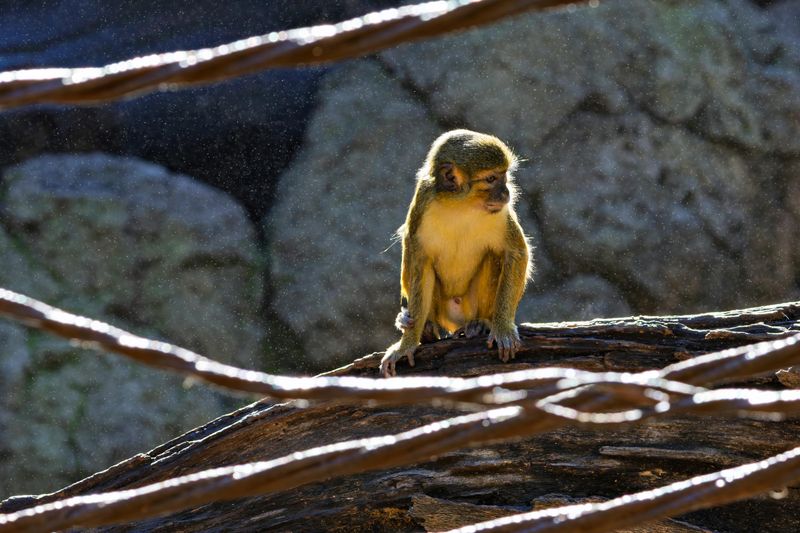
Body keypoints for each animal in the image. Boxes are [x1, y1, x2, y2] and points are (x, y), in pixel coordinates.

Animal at [380, 129, 532, 377]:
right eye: (491, 179)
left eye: (504, 176)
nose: (506, 193)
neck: (461, 204)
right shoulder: (424, 200)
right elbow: (420, 262)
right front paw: (407, 343)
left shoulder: (501, 214)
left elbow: (516, 252)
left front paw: (502, 327)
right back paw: (426, 329)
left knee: (494, 256)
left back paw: (480, 323)